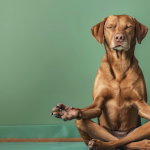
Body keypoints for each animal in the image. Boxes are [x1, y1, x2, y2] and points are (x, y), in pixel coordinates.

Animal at [51, 14, 149, 149]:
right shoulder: (98, 102)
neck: (120, 64)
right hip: (87, 125)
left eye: (128, 27)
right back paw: (98, 143)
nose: (119, 37)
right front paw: (71, 111)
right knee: (116, 140)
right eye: (110, 27)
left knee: (126, 140)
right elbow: (92, 108)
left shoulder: (140, 103)